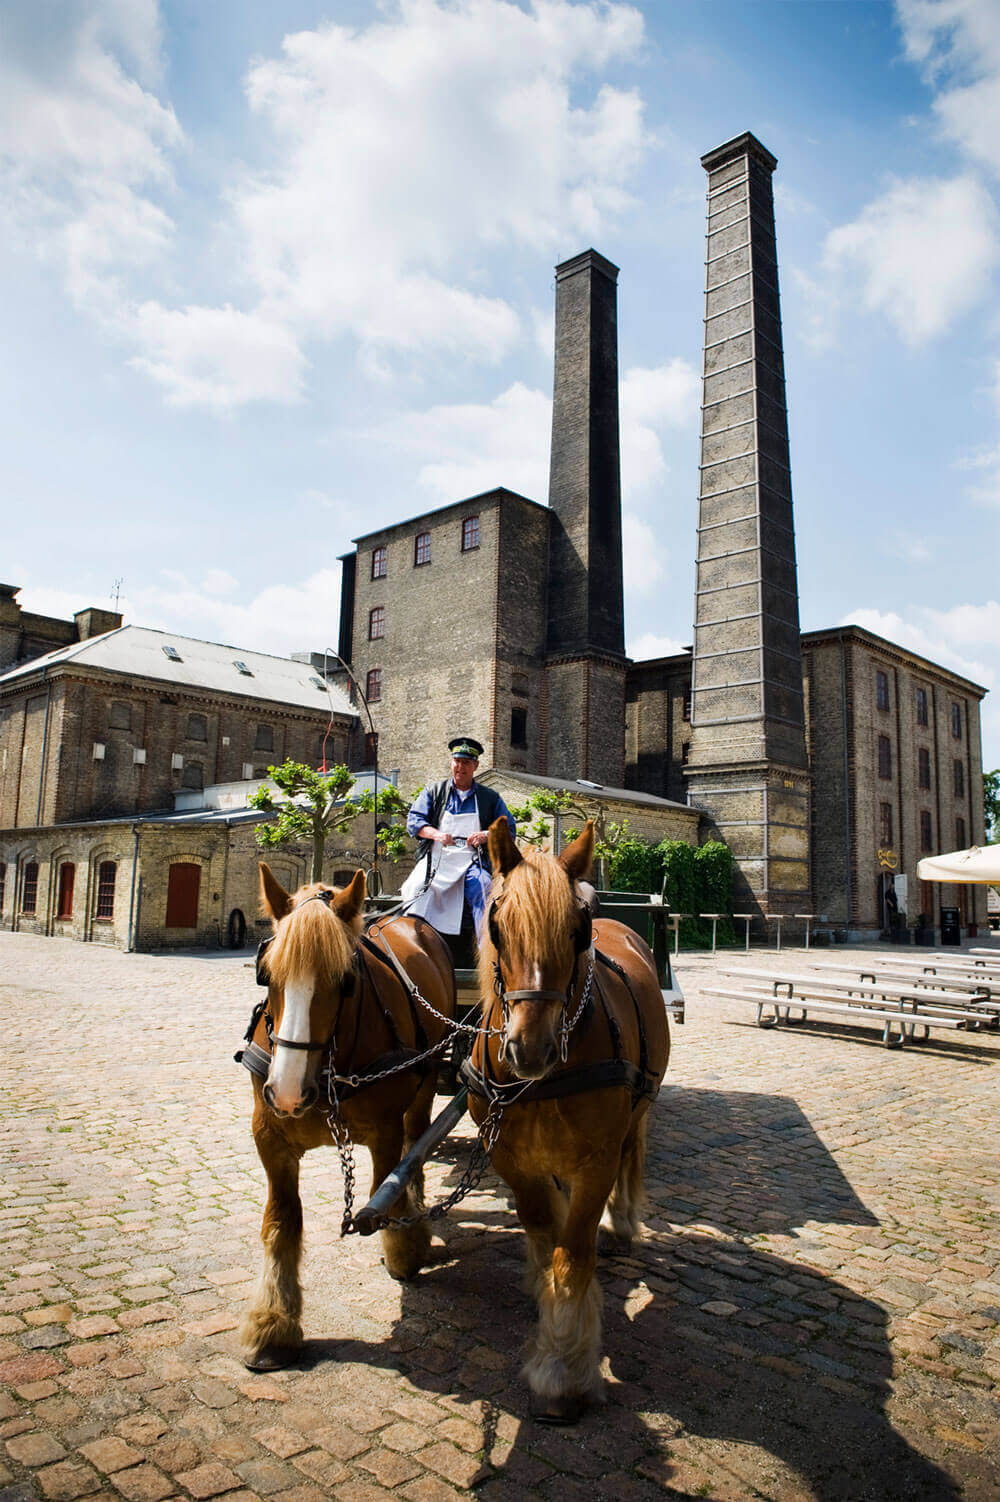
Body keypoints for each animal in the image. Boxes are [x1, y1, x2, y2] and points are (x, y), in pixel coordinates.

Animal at [240, 865, 453, 1369]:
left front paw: (404, 1250)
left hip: (428, 1078)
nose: (288, 1092)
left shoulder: (385, 1130)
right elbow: (281, 1221)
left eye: (345, 979)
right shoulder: (269, 1136)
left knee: (418, 1143)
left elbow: (386, 1188)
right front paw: (273, 1322)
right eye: (266, 973)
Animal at [468, 823, 669, 1417]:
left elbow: (573, 1252)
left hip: (637, 1111)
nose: (529, 1048)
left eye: (578, 933)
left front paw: (562, 1366)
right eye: (496, 927)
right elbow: (542, 1228)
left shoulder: (595, 1163)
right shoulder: (509, 1157)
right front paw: (546, 1300)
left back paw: (623, 1223)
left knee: (632, 1155)